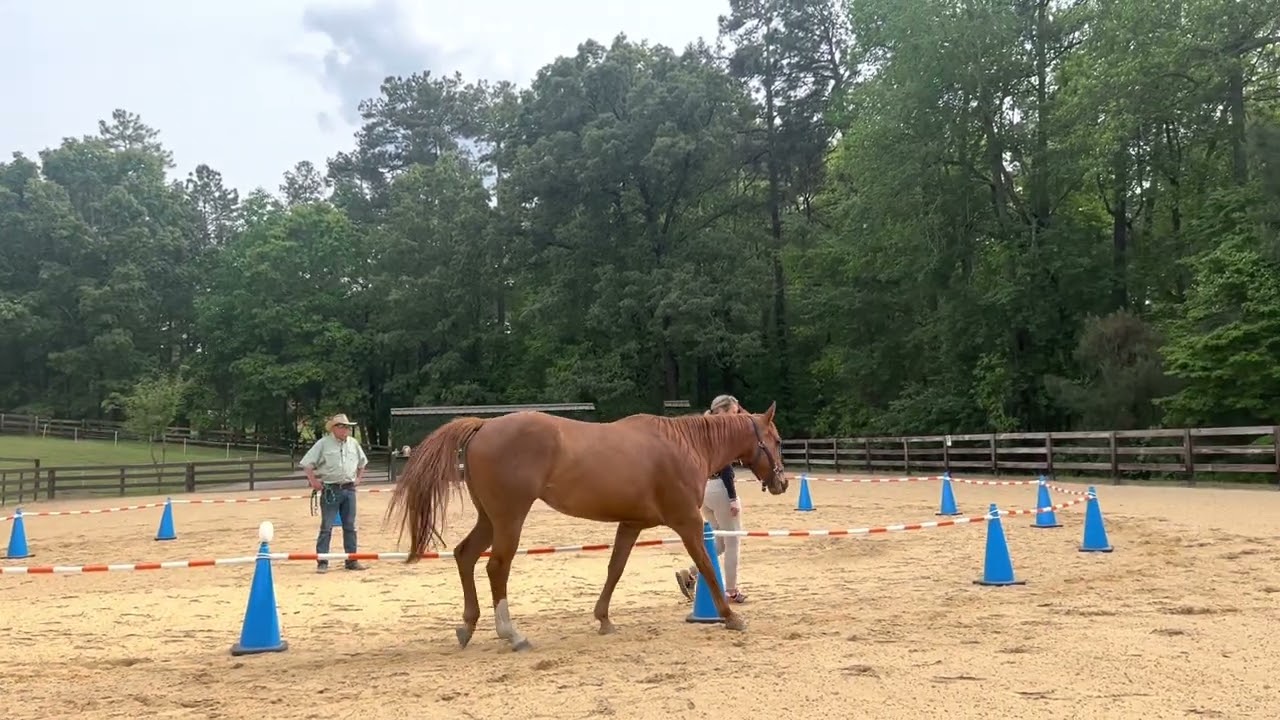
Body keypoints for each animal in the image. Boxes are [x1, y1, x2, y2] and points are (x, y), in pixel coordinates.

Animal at [383, 402, 788, 652]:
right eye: (778, 439)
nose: (783, 483)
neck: (684, 444)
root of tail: (484, 426)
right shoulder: (687, 522)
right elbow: (705, 565)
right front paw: (731, 617)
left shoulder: (631, 524)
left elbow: (615, 569)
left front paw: (604, 619)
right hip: (509, 519)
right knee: (496, 567)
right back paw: (511, 634)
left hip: (489, 518)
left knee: (465, 555)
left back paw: (468, 626)